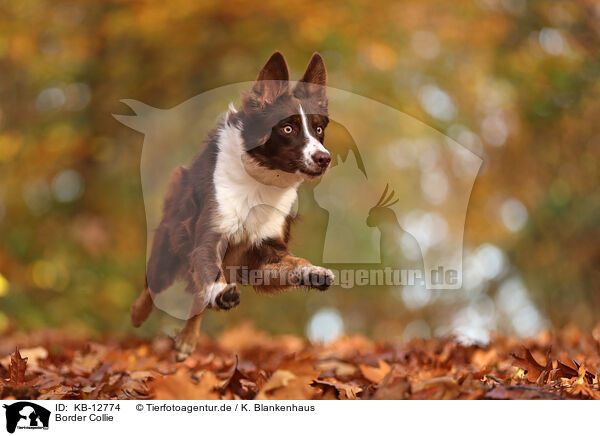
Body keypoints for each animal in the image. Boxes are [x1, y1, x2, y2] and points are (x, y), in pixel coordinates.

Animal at [131, 51, 336, 362]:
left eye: (319, 129)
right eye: (288, 128)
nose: (324, 158)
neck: (261, 180)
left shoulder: (265, 252)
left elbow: (294, 262)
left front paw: (312, 272)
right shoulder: (209, 237)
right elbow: (210, 274)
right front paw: (220, 293)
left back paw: (187, 340)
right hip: (169, 245)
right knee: (152, 286)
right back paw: (138, 314)